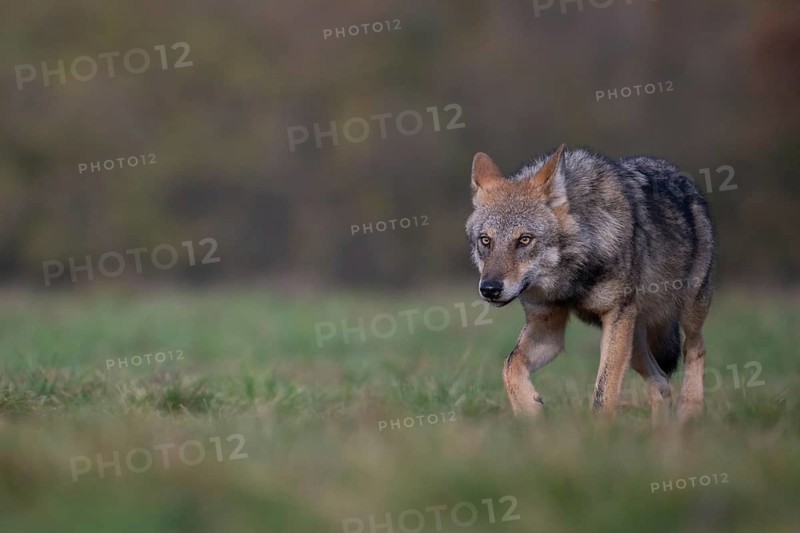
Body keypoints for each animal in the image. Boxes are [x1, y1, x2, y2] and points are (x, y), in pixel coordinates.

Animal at [465, 144, 716, 423]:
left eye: (525, 240)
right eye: (486, 240)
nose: (489, 288)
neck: (572, 275)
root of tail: (682, 178)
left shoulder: (616, 315)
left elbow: (603, 392)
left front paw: (599, 431)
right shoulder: (547, 327)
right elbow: (509, 365)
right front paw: (530, 410)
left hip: (683, 312)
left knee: (695, 348)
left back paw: (689, 410)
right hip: (633, 340)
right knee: (661, 383)